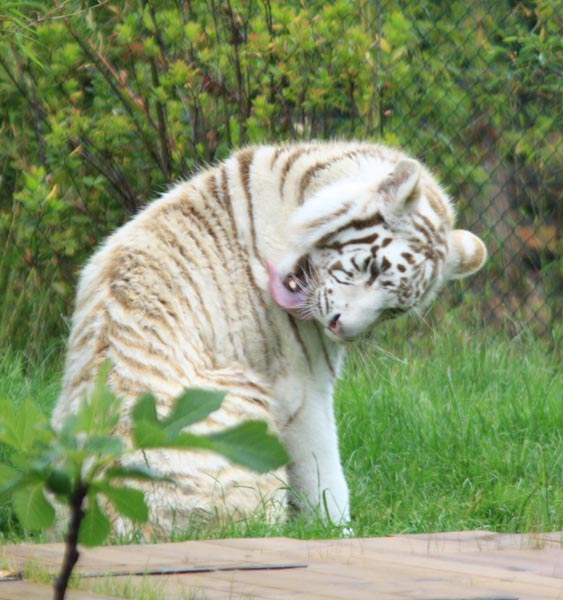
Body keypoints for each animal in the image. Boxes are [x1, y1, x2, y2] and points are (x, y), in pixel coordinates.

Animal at [50, 141, 486, 536]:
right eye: (371, 267)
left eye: (393, 308)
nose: (340, 327)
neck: (299, 194)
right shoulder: (302, 385)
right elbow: (324, 472)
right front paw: (337, 532)